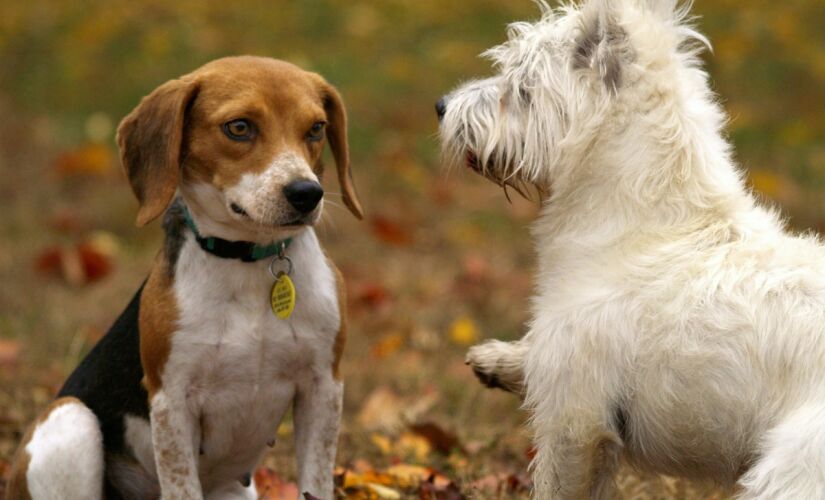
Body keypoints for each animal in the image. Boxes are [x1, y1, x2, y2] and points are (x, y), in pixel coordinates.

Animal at [5, 55, 360, 500]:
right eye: (239, 127)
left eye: (316, 128)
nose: (306, 194)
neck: (249, 263)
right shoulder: (171, 402)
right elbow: (181, 484)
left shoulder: (323, 387)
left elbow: (315, 480)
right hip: (71, 419)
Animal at [440, 1, 825, 498]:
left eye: (521, 87)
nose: (441, 107)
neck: (650, 229)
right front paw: (497, 359)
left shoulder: (576, 420)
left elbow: (556, 484)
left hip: (791, 470)